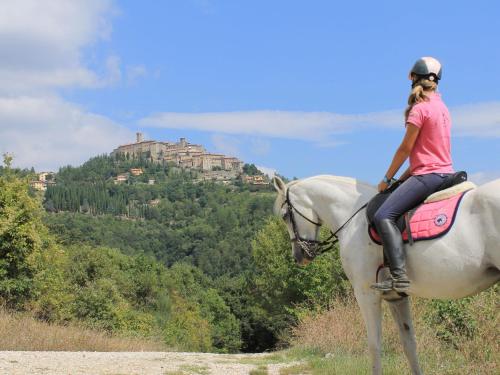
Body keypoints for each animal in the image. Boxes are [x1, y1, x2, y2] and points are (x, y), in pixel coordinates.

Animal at [274, 175, 500, 374]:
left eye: (285, 215)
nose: (299, 256)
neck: (353, 218)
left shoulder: (366, 295)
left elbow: (374, 346)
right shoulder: (396, 297)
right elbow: (409, 344)